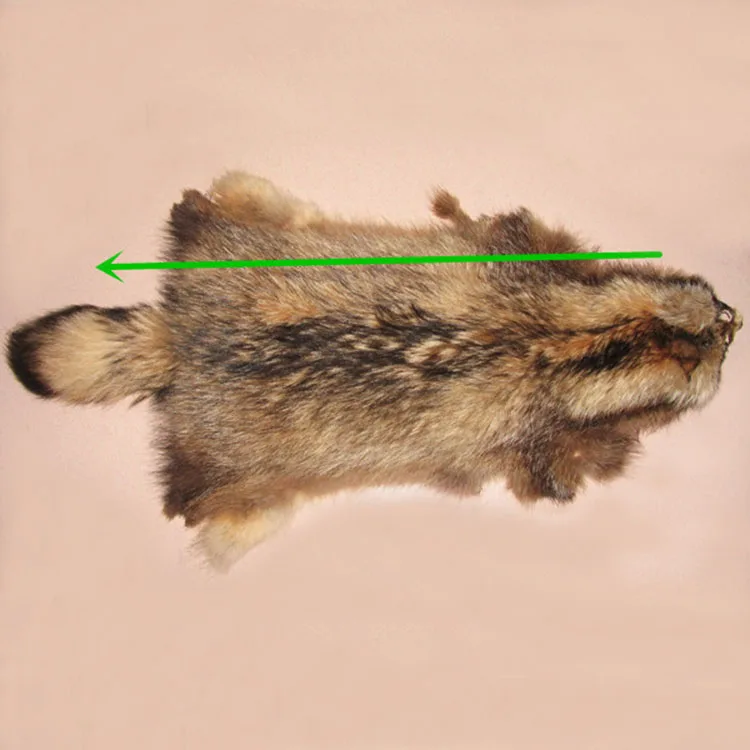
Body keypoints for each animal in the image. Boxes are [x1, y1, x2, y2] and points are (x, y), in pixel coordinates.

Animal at [6, 171, 743, 571]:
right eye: (711, 342)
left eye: (708, 314)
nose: (733, 321)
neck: (570, 344)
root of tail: (174, 341)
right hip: (236, 475)